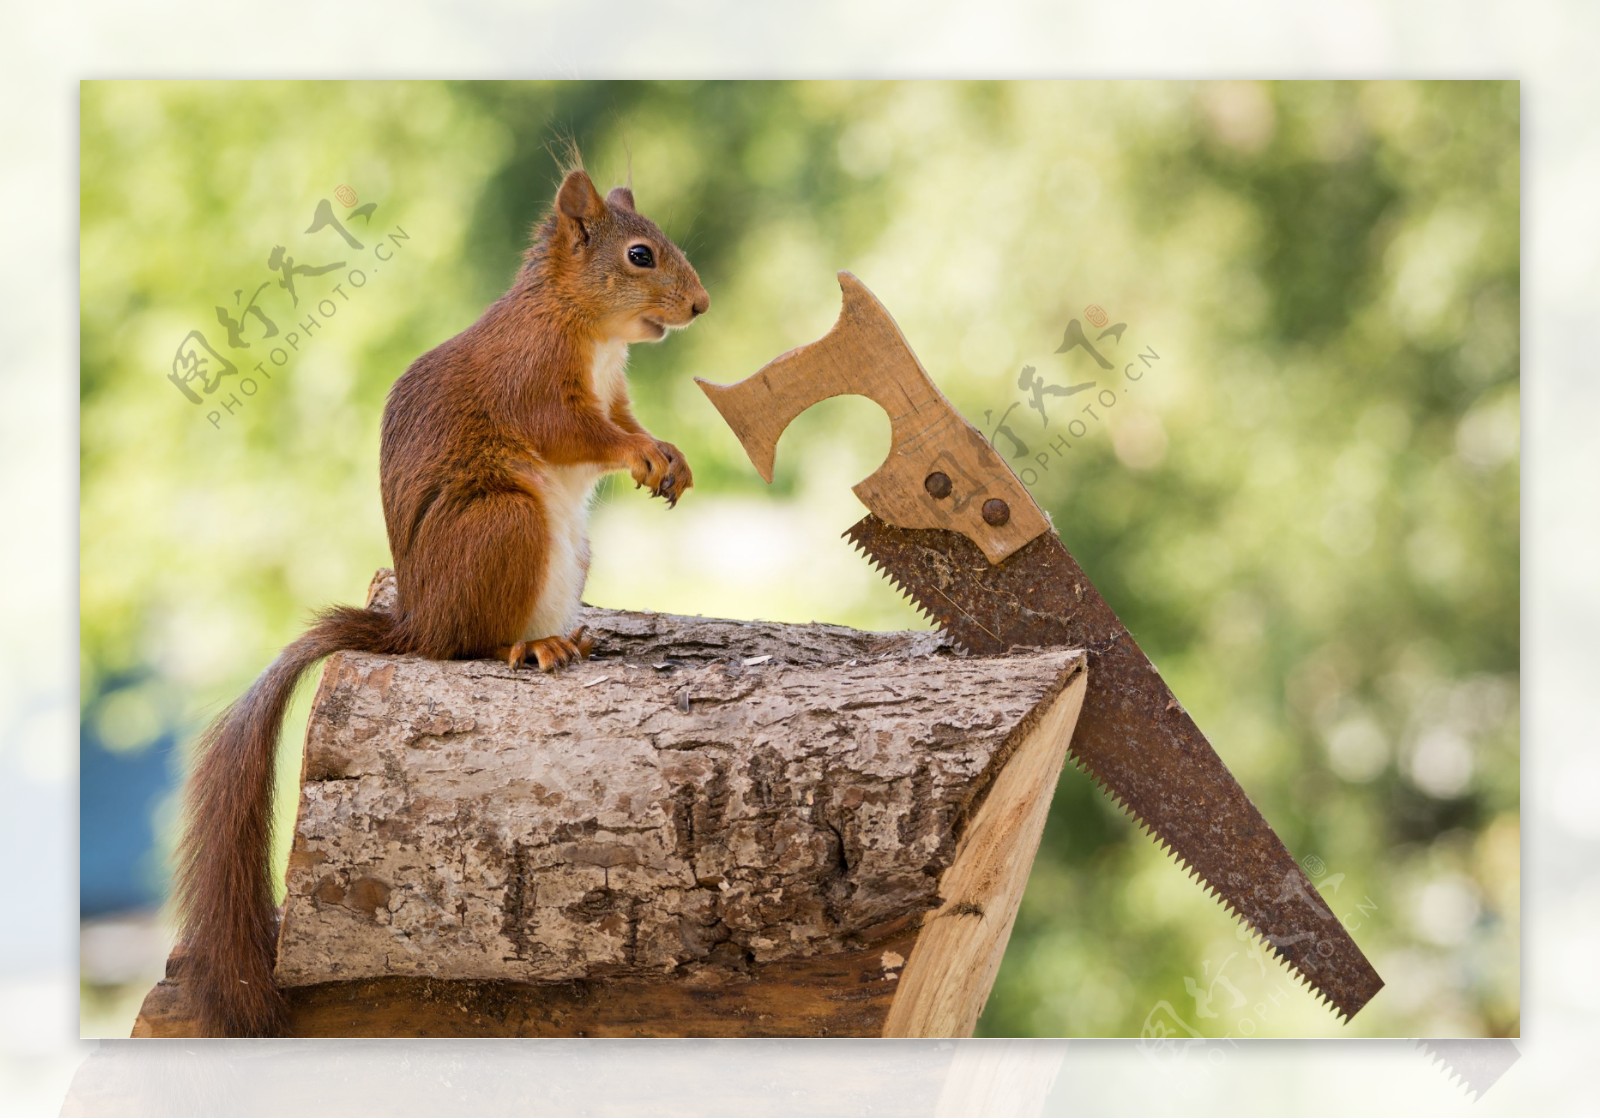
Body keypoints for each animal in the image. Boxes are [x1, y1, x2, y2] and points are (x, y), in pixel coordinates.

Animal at [175, 168, 707, 1043]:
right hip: (506, 523)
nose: (699, 304)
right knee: (467, 645)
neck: (585, 326)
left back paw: (570, 638)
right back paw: (528, 648)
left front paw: (669, 453)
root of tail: (414, 620)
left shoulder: (616, 389)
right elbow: (576, 430)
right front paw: (641, 453)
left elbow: (626, 418)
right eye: (640, 254)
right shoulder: (533, 379)